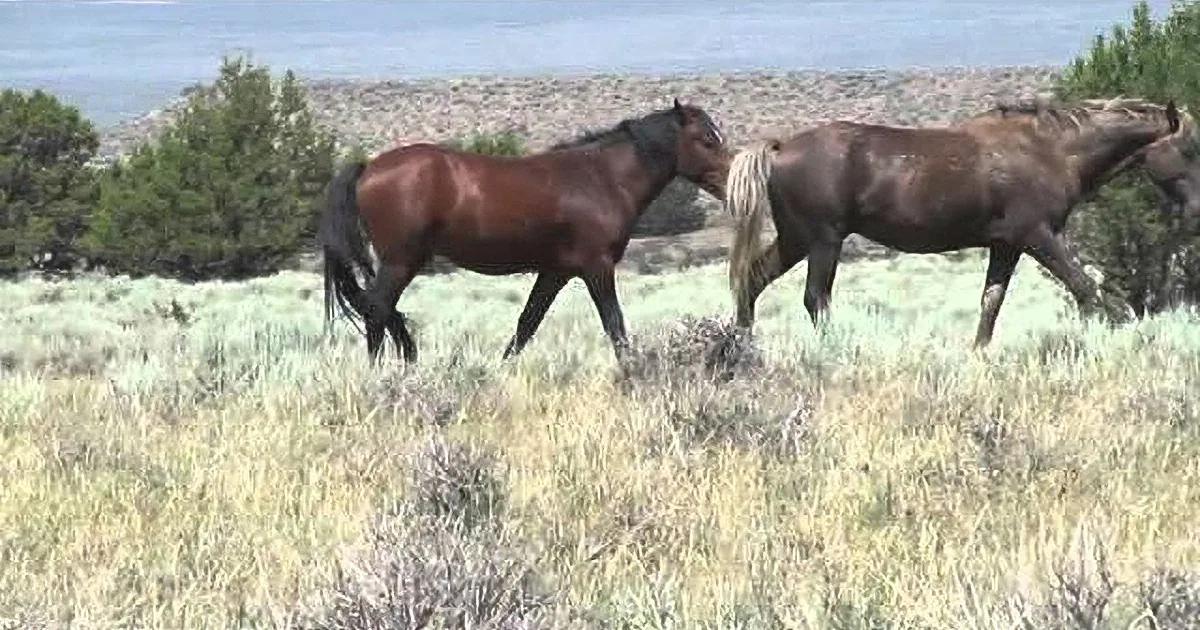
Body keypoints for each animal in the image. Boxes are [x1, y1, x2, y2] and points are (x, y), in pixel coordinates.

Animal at [318, 98, 731, 365]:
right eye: (707, 140)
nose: (734, 181)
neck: (601, 179)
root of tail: (368, 167)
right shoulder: (596, 268)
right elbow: (615, 325)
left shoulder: (555, 272)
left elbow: (525, 325)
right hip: (400, 262)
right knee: (376, 309)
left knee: (381, 311)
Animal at [723, 96, 1197, 348]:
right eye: (1190, 149)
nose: (1195, 210)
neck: (1050, 150)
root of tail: (781, 147)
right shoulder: (1038, 236)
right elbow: (1086, 290)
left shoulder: (1007, 245)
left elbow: (991, 302)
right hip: (823, 240)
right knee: (815, 298)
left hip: (797, 239)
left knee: (752, 280)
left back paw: (742, 342)